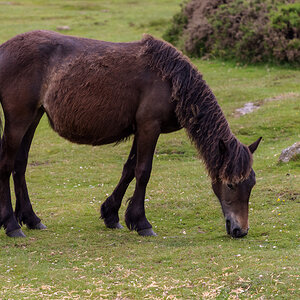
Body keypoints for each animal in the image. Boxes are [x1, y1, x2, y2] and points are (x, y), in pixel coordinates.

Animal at [0, 30, 262, 237]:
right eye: (230, 185)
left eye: (251, 184)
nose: (240, 230)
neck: (170, 79)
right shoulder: (149, 126)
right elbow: (143, 171)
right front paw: (142, 223)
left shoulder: (141, 128)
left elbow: (129, 169)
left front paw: (112, 215)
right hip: (18, 120)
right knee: (7, 165)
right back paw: (12, 225)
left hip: (33, 117)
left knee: (20, 165)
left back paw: (31, 219)